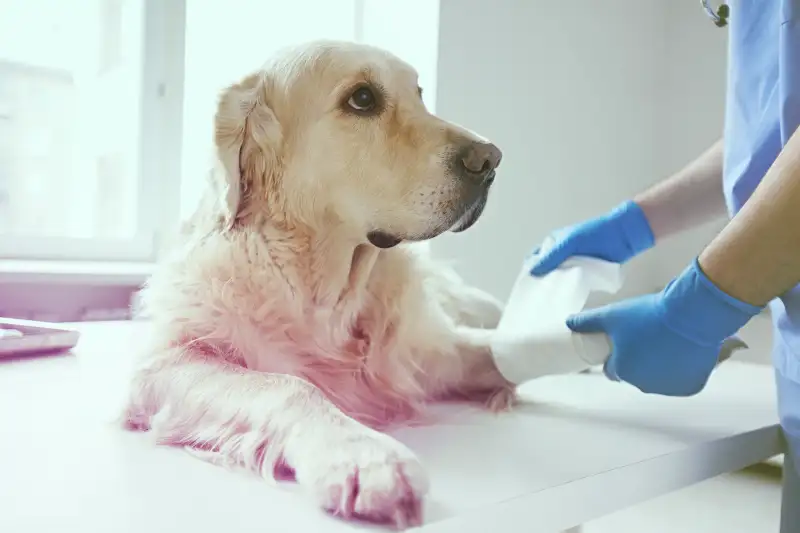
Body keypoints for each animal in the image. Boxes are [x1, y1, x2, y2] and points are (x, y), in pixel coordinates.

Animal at [125, 40, 512, 528]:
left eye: (420, 94)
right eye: (362, 99)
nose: (491, 159)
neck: (328, 291)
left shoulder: (431, 355)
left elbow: (499, 353)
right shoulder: (164, 363)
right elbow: (289, 386)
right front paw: (365, 456)